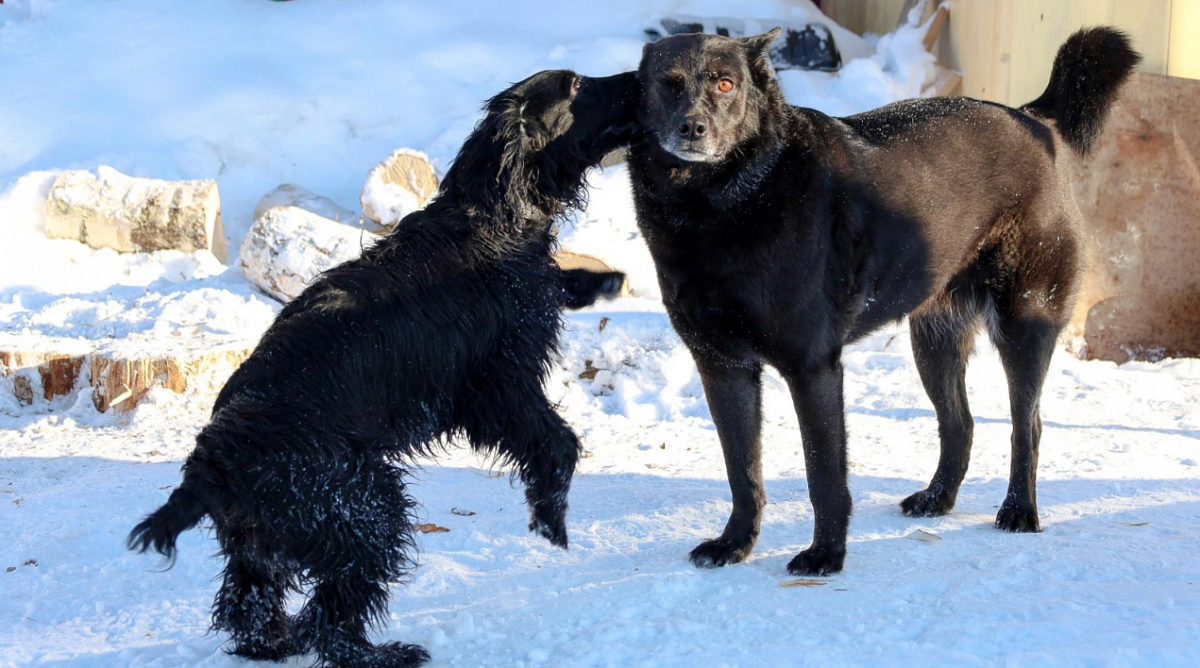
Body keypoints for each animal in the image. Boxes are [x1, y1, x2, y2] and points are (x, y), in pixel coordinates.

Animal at [126, 68, 643, 666]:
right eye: (576, 85)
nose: (640, 76)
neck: (492, 217)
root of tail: (216, 460)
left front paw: (602, 280)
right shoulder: (498, 386)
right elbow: (558, 442)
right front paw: (550, 518)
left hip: (269, 534)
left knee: (248, 603)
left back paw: (277, 642)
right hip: (365, 507)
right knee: (330, 618)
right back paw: (383, 653)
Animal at [633, 28, 1137, 575]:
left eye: (725, 83)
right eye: (667, 83)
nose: (692, 128)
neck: (720, 205)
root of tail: (1031, 118)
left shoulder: (813, 368)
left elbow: (823, 475)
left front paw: (826, 555)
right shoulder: (723, 367)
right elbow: (742, 471)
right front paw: (735, 544)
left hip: (1025, 324)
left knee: (1028, 427)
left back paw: (1020, 510)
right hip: (933, 341)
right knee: (960, 424)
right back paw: (937, 499)